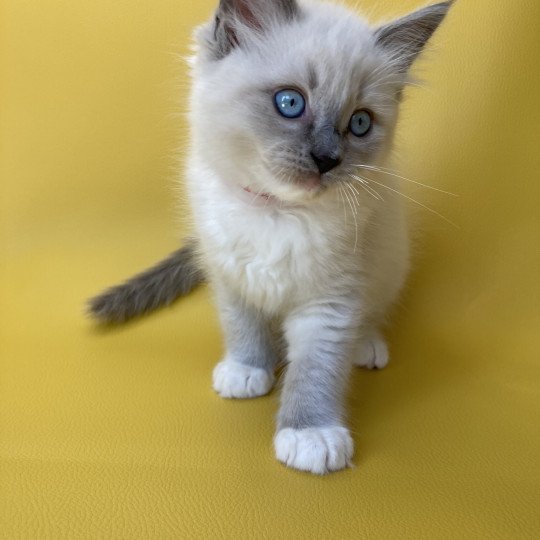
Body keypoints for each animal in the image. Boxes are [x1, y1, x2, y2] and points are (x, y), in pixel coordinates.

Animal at [88, 0, 452, 472]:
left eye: (359, 123)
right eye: (290, 102)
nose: (327, 159)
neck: (277, 213)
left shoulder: (330, 303)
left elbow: (316, 369)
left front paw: (310, 435)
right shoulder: (230, 275)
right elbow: (243, 327)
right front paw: (247, 371)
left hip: (390, 264)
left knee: (371, 316)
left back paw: (366, 346)